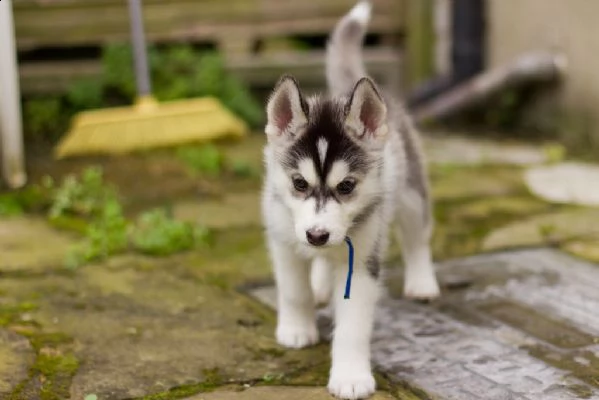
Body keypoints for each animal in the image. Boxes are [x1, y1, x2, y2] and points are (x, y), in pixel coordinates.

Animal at [262, 1, 440, 398]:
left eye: (346, 187)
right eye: (299, 183)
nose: (317, 236)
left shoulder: (360, 262)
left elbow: (353, 328)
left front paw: (351, 375)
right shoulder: (283, 239)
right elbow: (293, 291)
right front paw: (297, 328)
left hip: (411, 194)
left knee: (417, 237)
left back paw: (422, 282)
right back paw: (320, 286)